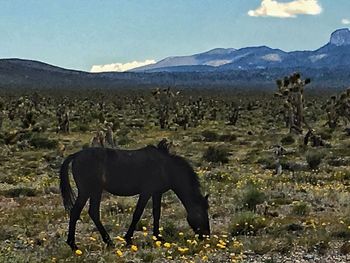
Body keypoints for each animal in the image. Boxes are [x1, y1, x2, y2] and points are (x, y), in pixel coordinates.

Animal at [59, 141, 211, 251]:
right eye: (201, 213)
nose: (206, 236)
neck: (166, 167)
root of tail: (76, 155)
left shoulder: (157, 193)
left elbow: (157, 213)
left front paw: (158, 237)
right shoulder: (146, 192)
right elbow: (137, 214)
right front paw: (128, 239)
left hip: (95, 191)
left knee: (93, 213)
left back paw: (107, 242)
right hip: (88, 191)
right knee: (77, 212)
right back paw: (74, 245)